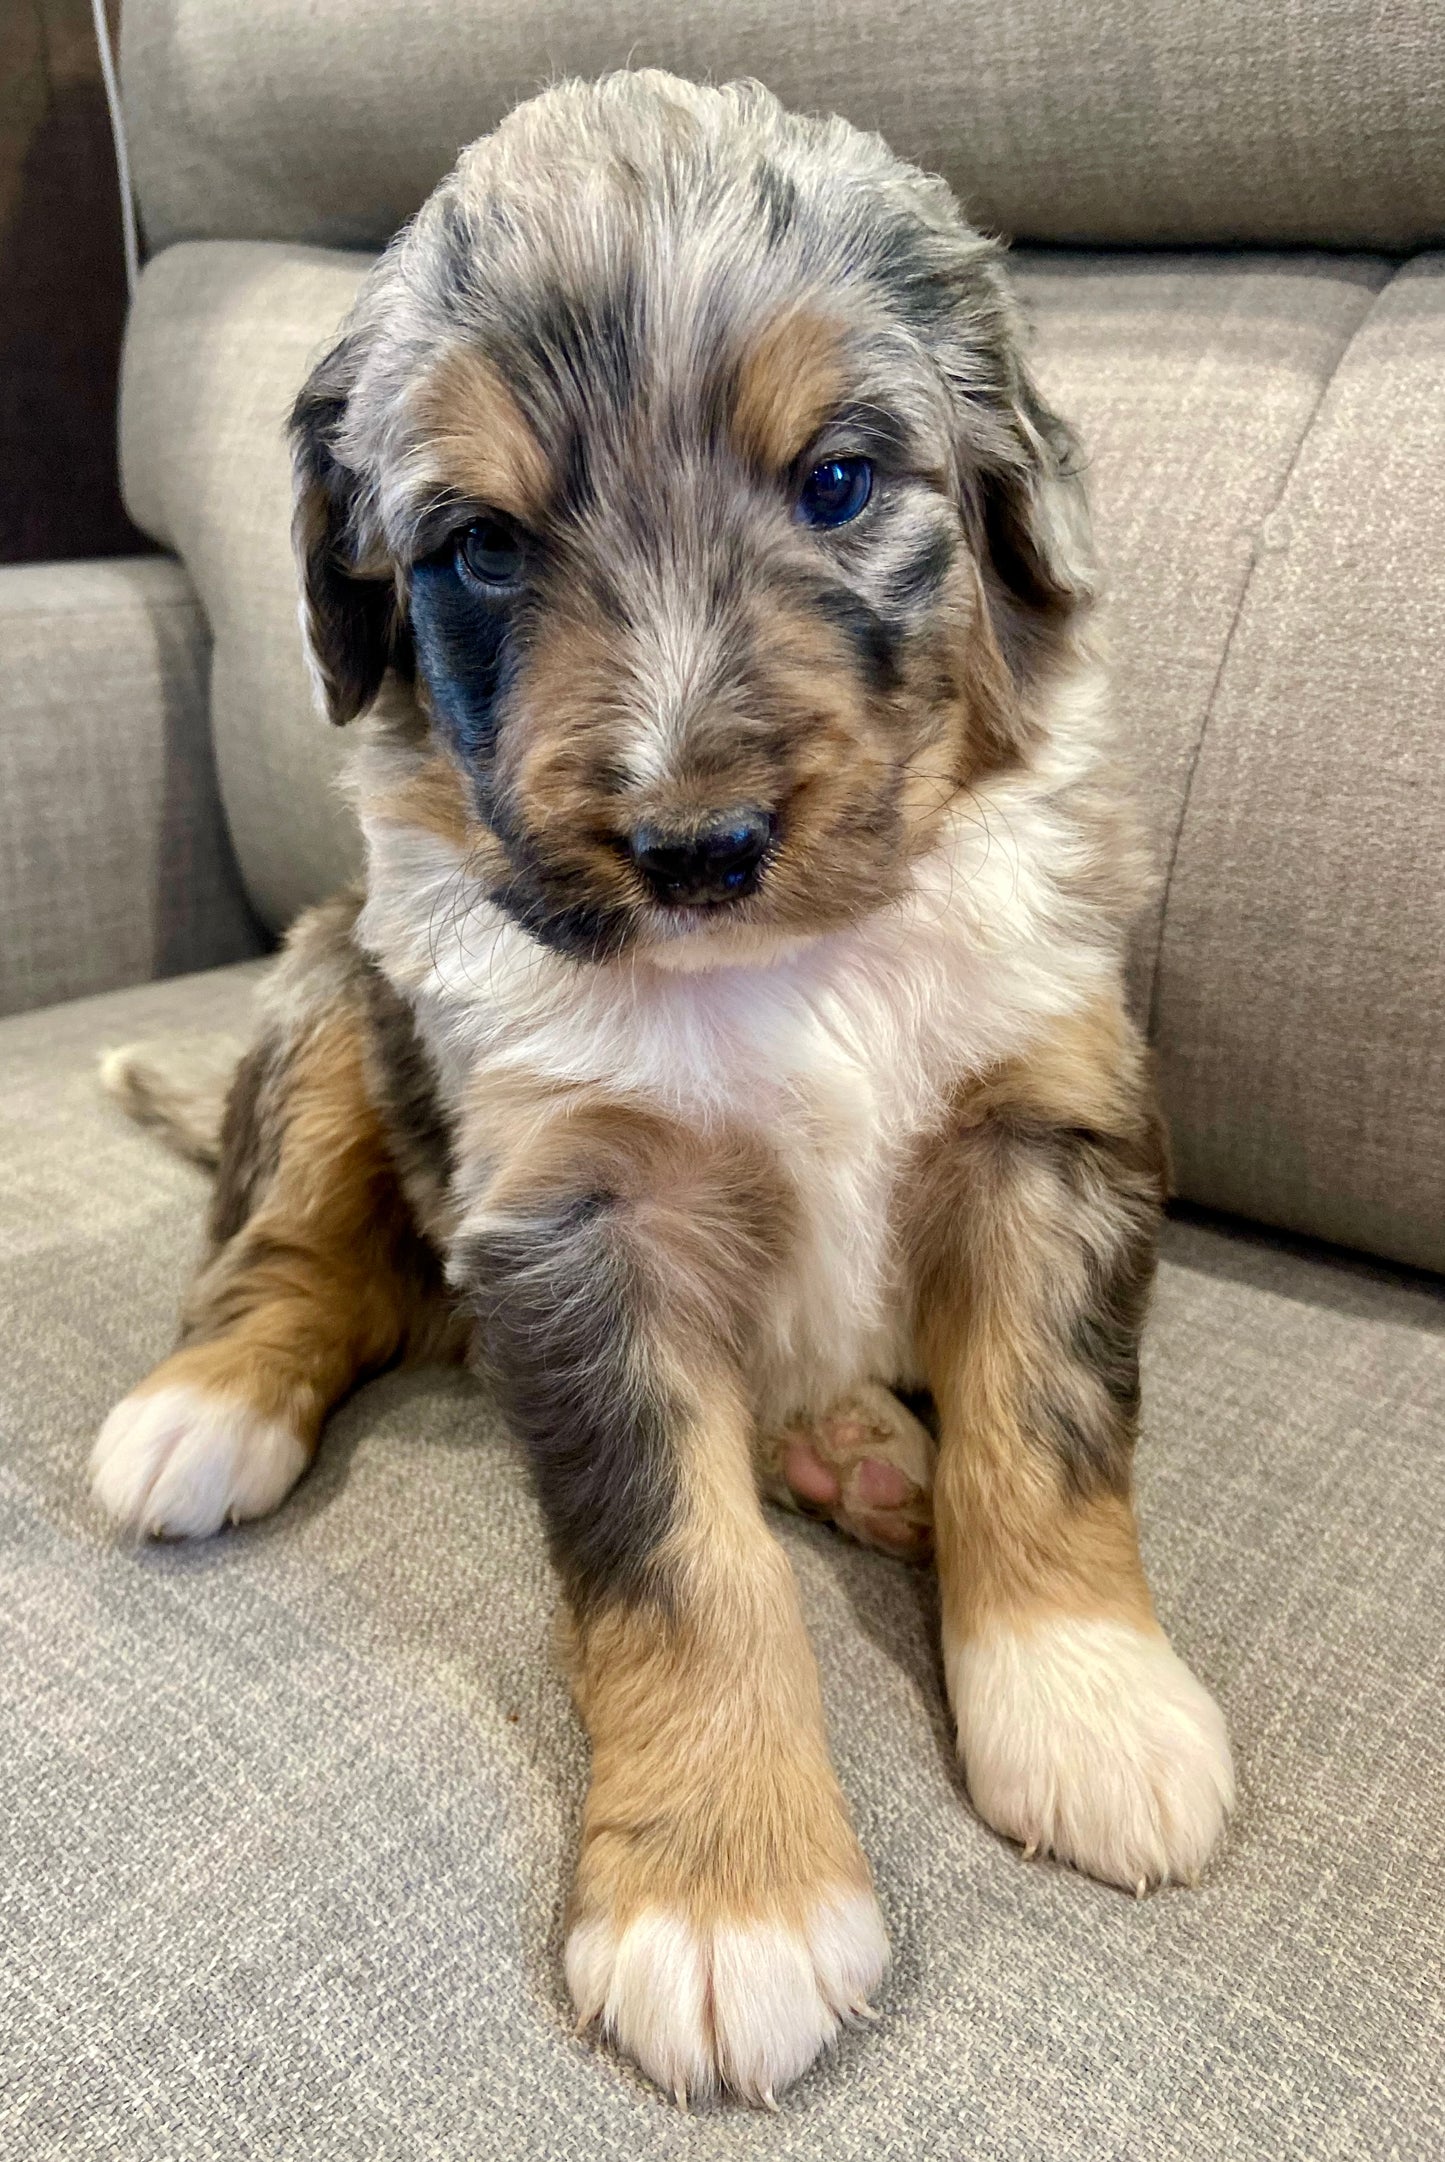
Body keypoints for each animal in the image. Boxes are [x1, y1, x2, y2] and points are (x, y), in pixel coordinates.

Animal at [90, 76, 1228, 2101]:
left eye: (838, 480)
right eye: (477, 546)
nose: (694, 845)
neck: (777, 969)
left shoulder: (1049, 1114)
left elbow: (1045, 1427)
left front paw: (1089, 1696)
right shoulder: (566, 1212)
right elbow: (685, 1564)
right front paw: (726, 1897)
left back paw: (865, 1449)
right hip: (330, 1002)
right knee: (301, 1257)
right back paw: (200, 1410)